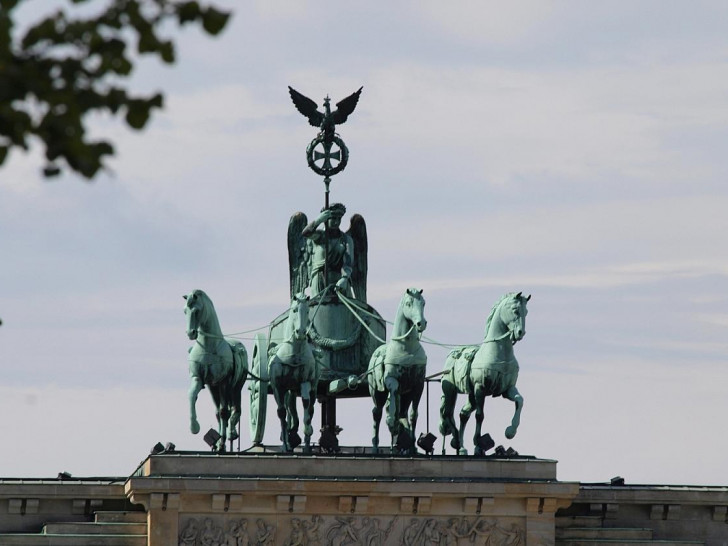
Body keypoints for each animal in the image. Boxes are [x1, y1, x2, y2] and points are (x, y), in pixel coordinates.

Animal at [183, 288, 249, 450]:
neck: (209, 345)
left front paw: (223, 441)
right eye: (185, 311)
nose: (191, 333)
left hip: (236, 387)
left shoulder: (224, 382)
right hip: (213, 388)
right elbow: (192, 395)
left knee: (234, 410)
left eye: (196, 311)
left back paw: (230, 435)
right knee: (218, 412)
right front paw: (194, 427)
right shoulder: (199, 379)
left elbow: (224, 412)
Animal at [268, 294, 318, 450]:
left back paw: (306, 443)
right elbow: (282, 413)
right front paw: (285, 444)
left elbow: (306, 406)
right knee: (288, 410)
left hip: (311, 387)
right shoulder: (278, 386)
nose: (301, 333)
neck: (294, 353)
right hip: (288, 390)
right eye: (295, 310)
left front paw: (307, 430)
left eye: (307, 311)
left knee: (310, 409)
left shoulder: (305, 382)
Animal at [366, 286, 430, 452]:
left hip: (406, 396)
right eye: (408, 303)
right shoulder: (391, 381)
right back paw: (375, 446)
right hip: (377, 393)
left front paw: (413, 445)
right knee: (377, 413)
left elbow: (413, 415)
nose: (421, 323)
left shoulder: (418, 385)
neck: (406, 348)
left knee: (402, 414)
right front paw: (391, 423)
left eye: (423, 303)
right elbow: (392, 400)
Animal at [438, 292, 528, 452]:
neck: (499, 353)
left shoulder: (508, 389)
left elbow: (520, 400)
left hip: (470, 395)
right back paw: (458, 442)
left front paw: (510, 431)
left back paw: (461, 447)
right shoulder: (480, 388)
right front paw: (478, 444)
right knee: (448, 413)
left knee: (463, 413)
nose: (520, 333)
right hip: (451, 391)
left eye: (527, 312)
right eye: (515, 310)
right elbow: (480, 416)